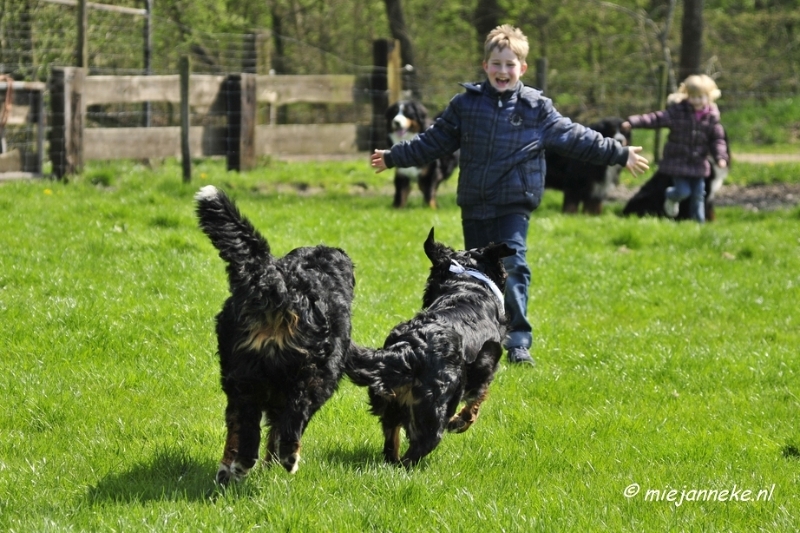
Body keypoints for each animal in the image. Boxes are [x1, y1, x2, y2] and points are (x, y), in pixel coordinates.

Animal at [195, 185, 354, 484]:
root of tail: (279, 284)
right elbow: (279, 428)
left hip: (245, 373)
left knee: (246, 422)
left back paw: (244, 464)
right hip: (299, 374)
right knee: (283, 420)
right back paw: (274, 460)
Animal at [346, 229, 512, 466]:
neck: (467, 282)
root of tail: (410, 348)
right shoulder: (486, 365)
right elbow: (478, 398)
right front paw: (461, 421)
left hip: (391, 402)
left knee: (391, 443)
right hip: (434, 410)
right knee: (417, 450)